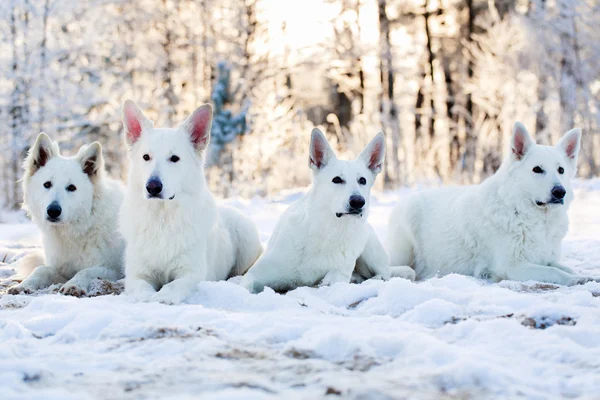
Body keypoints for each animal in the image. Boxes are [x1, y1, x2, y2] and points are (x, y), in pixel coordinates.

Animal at [9, 133, 124, 296]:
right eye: (47, 184)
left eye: (71, 187)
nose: (53, 211)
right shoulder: (61, 269)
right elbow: (41, 269)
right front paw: (24, 285)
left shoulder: (113, 270)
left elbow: (85, 271)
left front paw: (74, 285)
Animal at [120, 100, 262, 304]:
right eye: (146, 157)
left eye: (174, 158)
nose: (153, 187)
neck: (163, 218)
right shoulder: (136, 275)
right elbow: (141, 288)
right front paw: (147, 298)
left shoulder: (191, 273)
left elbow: (173, 285)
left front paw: (163, 297)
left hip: (247, 239)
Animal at [241, 129, 414, 294]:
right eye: (337, 179)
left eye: (362, 180)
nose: (358, 202)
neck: (329, 232)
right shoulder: (255, 274)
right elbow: (245, 286)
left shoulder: (339, 272)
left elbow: (335, 277)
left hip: (369, 248)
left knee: (385, 273)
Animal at [384, 123, 592, 286]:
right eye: (537, 169)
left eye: (561, 170)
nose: (560, 192)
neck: (522, 213)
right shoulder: (512, 266)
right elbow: (553, 271)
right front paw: (574, 280)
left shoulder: (545, 257)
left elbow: (564, 267)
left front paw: (583, 276)